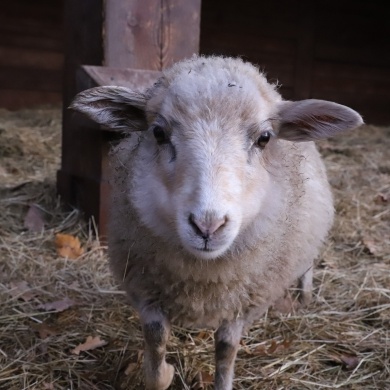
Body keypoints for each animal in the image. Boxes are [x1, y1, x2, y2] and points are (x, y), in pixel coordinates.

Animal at [70, 55, 362, 390]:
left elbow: (225, 350)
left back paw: (305, 294)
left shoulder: (242, 303)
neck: (203, 279)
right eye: (158, 133)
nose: (207, 226)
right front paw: (166, 371)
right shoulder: (146, 288)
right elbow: (155, 343)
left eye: (264, 138)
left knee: (308, 264)